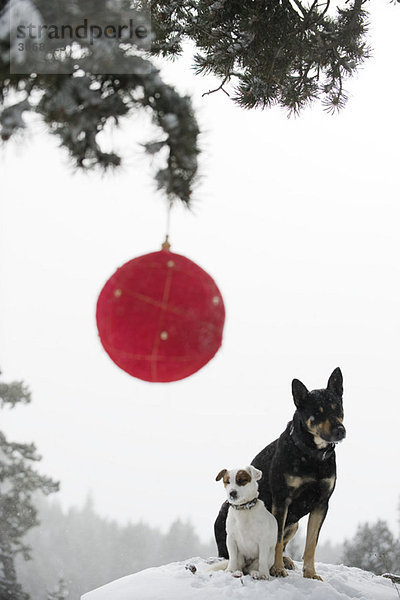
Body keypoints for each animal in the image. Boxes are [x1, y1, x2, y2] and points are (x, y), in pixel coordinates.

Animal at [214, 368, 346, 580]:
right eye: (317, 413)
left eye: (337, 408)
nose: (340, 431)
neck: (311, 455)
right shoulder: (282, 499)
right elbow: (275, 540)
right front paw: (276, 569)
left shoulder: (322, 503)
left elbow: (311, 544)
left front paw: (310, 573)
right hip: (226, 514)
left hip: (294, 525)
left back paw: (286, 560)